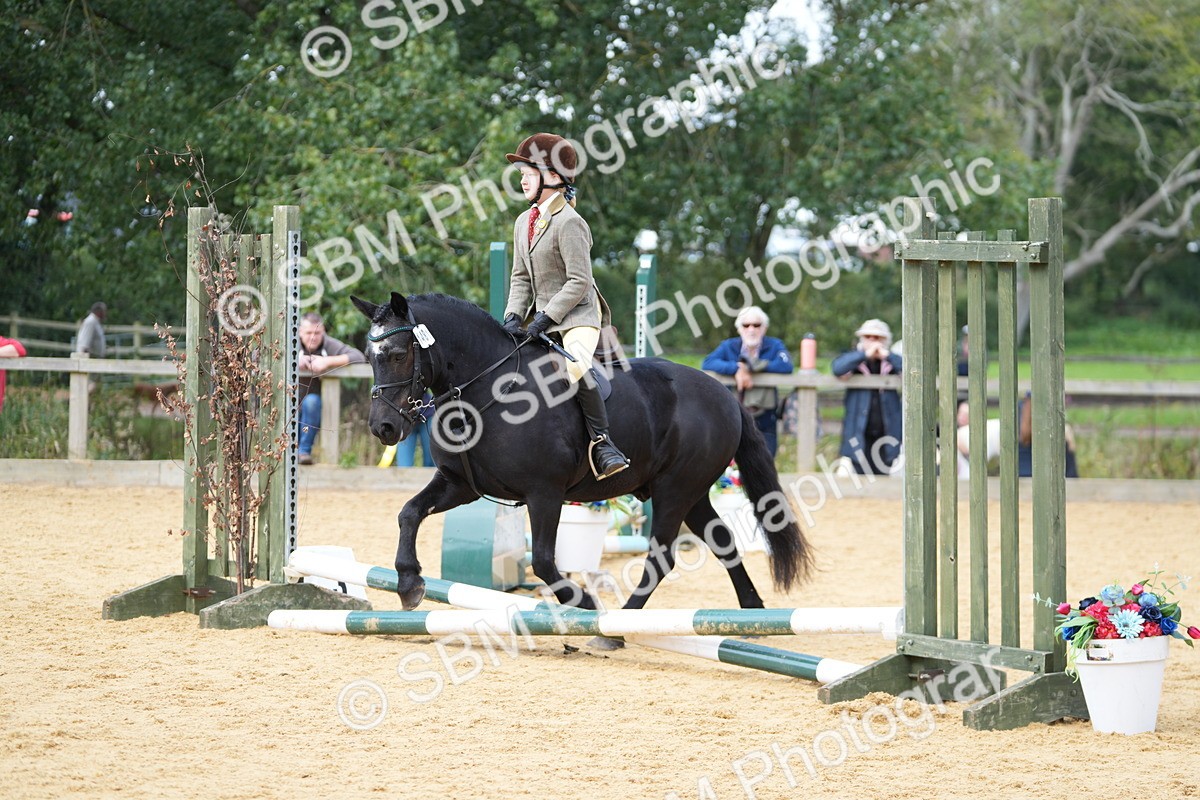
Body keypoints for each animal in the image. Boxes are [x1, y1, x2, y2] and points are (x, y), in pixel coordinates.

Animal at [351, 292, 812, 621]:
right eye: (369, 357)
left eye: (398, 355)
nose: (383, 428)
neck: (489, 391)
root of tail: (725, 396)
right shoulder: (461, 484)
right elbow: (409, 513)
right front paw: (409, 582)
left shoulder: (545, 493)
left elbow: (543, 561)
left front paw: (584, 602)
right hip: (693, 492)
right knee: (723, 543)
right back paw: (752, 612)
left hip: (675, 491)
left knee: (660, 557)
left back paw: (615, 627)